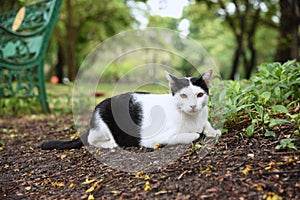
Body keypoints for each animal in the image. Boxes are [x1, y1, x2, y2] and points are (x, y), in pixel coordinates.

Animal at [41, 70, 220, 150]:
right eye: (183, 96)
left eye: (199, 95)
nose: (193, 106)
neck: (193, 119)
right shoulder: (160, 138)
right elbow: (193, 135)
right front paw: (198, 133)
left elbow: (206, 125)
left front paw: (213, 131)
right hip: (102, 122)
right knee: (92, 140)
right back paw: (111, 144)